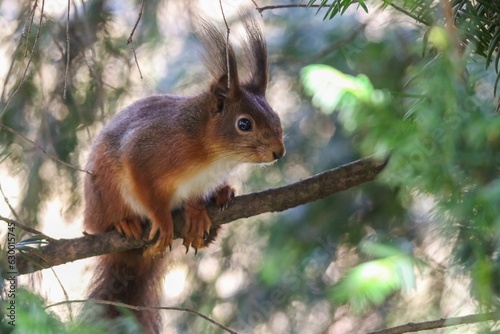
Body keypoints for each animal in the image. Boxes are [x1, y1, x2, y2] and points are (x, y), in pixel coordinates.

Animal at [82, 16, 286, 334]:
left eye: (276, 117)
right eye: (244, 124)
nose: (279, 152)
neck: (210, 153)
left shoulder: (200, 182)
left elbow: (194, 199)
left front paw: (198, 213)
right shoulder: (143, 151)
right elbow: (147, 192)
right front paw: (164, 221)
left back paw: (220, 200)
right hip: (102, 195)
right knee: (104, 221)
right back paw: (125, 223)